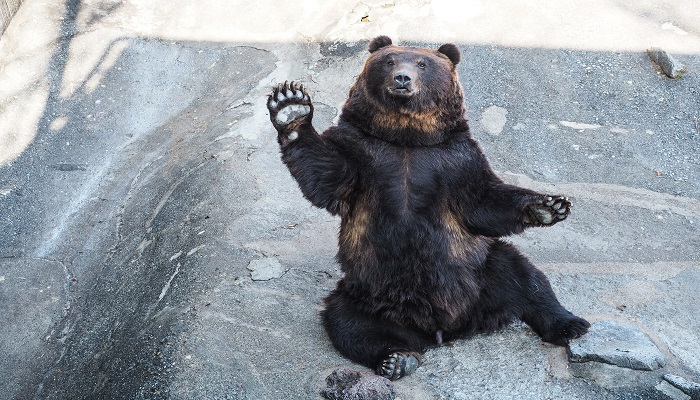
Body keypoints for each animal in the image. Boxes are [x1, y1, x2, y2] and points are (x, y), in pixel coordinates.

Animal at [266, 36, 588, 382]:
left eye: (422, 64)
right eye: (390, 61)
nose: (402, 78)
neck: (407, 139)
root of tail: (445, 329)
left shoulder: (455, 160)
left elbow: (483, 201)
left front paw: (549, 205)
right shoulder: (361, 152)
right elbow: (327, 174)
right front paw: (290, 107)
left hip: (479, 272)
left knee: (523, 277)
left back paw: (570, 324)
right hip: (366, 293)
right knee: (348, 323)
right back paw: (396, 359)